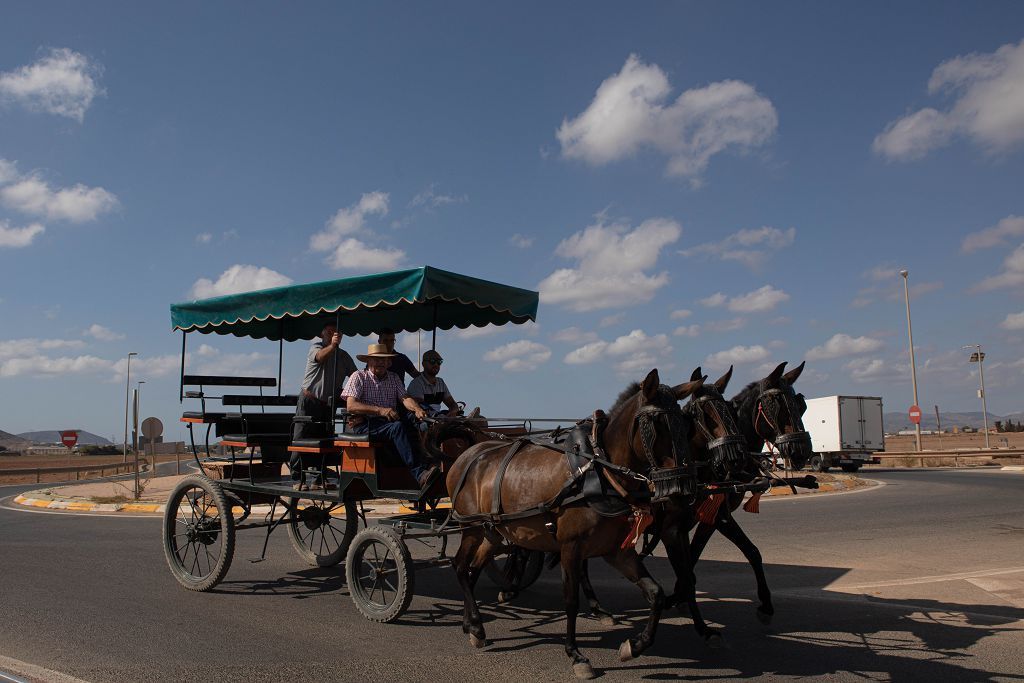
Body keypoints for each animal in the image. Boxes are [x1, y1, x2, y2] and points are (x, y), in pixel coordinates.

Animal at [446, 370, 704, 679]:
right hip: (471, 528)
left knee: (472, 571)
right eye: (655, 426)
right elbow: (570, 601)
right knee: (460, 568)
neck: (599, 469)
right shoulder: (570, 547)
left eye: (686, 426)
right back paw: (474, 623)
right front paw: (576, 654)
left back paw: (472, 625)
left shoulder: (617, 550)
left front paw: (635, 645)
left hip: (492, 533)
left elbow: (655, 593)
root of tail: (466, 456)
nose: (684, 489)